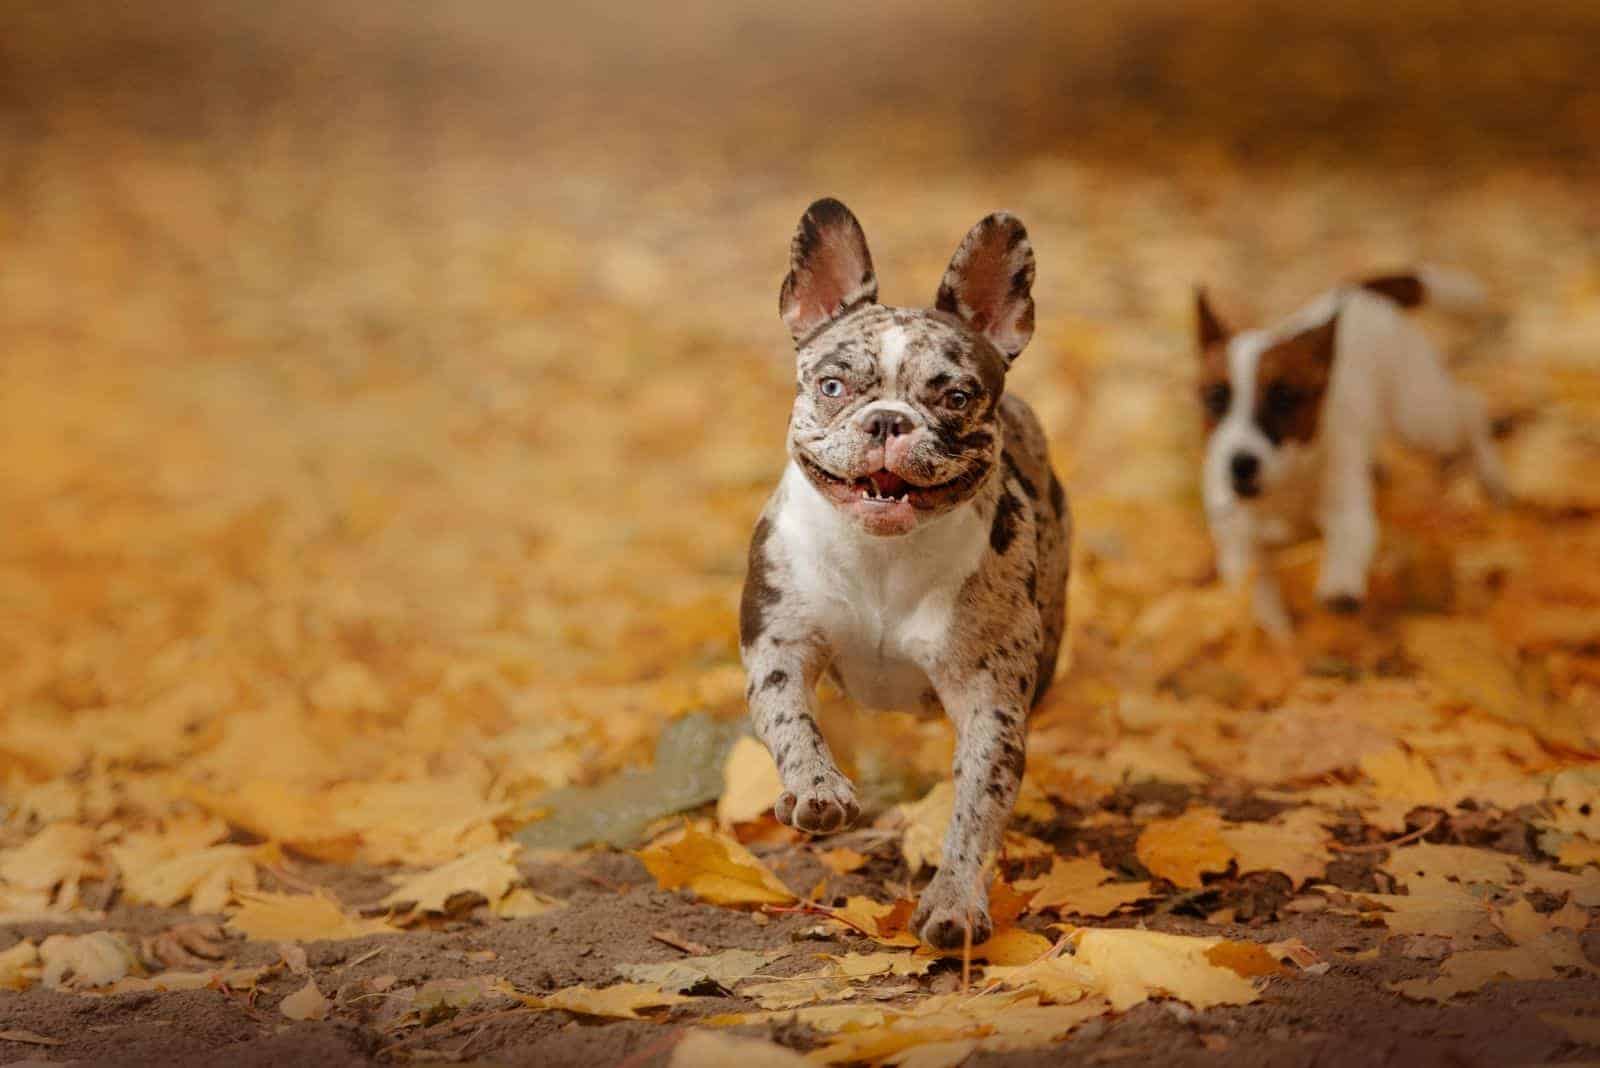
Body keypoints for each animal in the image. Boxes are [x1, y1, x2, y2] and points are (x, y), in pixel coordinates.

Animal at [739, 202, 1068, 952]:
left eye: (956, 397)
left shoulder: (989, 697)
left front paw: (954, 901)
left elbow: (977, 805)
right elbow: (789, 717)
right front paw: (817, 788)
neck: (881, 556)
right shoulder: (780, 643)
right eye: (832, 387)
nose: (888, 420)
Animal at [1196, 267, 1504, 639]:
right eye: (1216, 397)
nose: (1240, 464)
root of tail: (1363, 292)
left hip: (1422, 419)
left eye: (1285, 398)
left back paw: (1492, 475)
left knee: (1471, 407)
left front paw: (1338, 586)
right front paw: (1277, 636)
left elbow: (1348, 539)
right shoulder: (1241, 547)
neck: (1285, 488)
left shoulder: (1347, 511)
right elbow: (1257, 593)